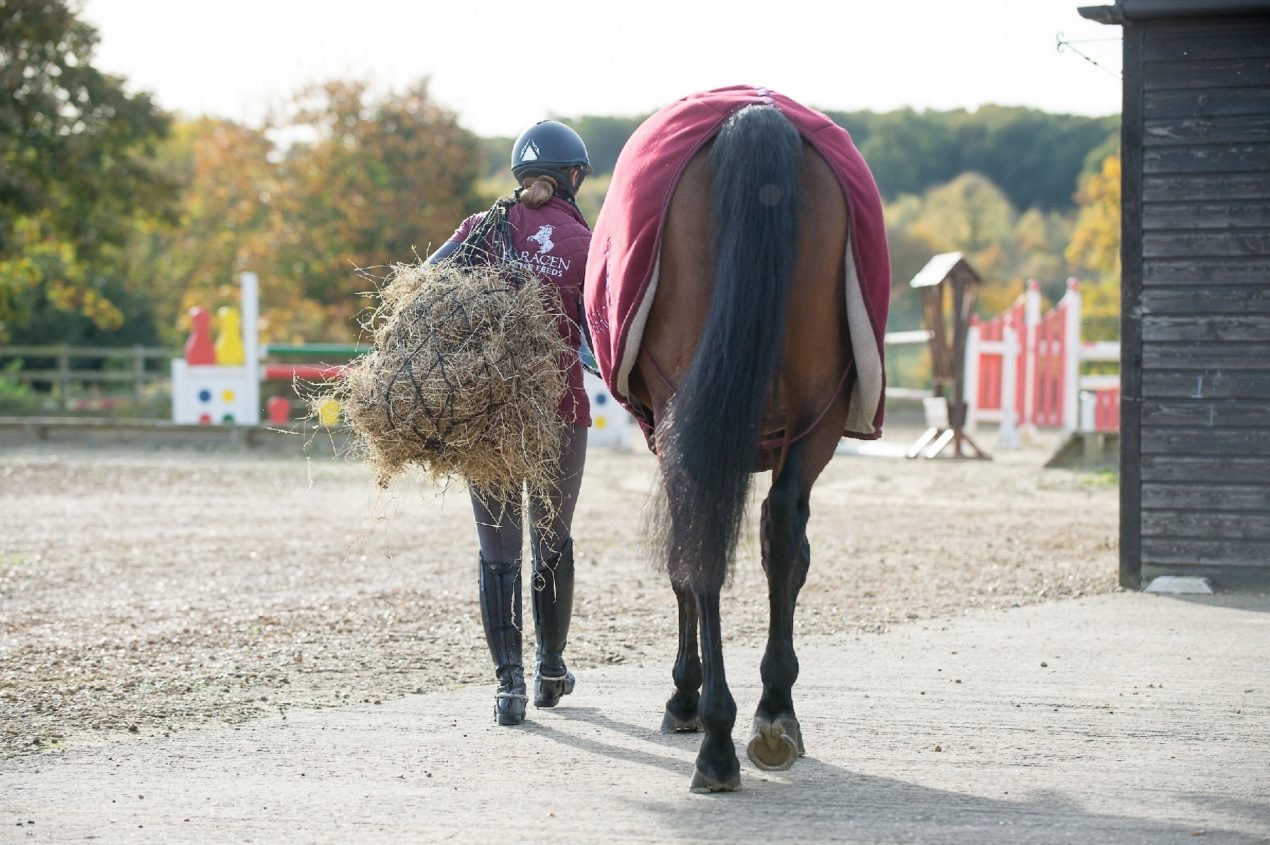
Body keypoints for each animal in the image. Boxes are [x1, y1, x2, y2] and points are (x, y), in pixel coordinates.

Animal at [589, 90, 889, 792]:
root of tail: (755, 117)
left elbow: (683, 564)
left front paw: (685, 697)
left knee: (702, 546)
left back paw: (716, 736)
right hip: (816, 419)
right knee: (781, 534)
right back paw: (773, 713)